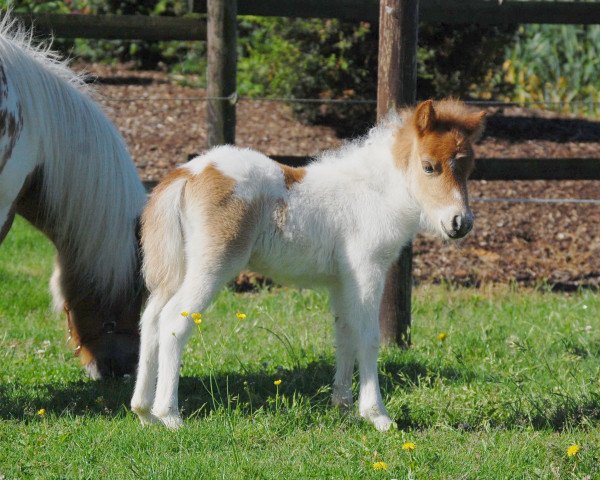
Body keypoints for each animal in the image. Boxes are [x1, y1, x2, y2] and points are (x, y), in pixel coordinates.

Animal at [131, 98, 482, 432]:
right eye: (428, 166)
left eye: (468, 168)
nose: (460, 223)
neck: (373, 192)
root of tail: (189, 172)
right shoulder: (368, 271)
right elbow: (368, 337)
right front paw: (377, 415)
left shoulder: (343, 280)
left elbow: (345, 333)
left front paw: (343, 408)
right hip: (212, 267)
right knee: (174, 320)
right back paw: (170, 415)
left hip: (177, 269)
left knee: (150, 319)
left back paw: (143, 411)